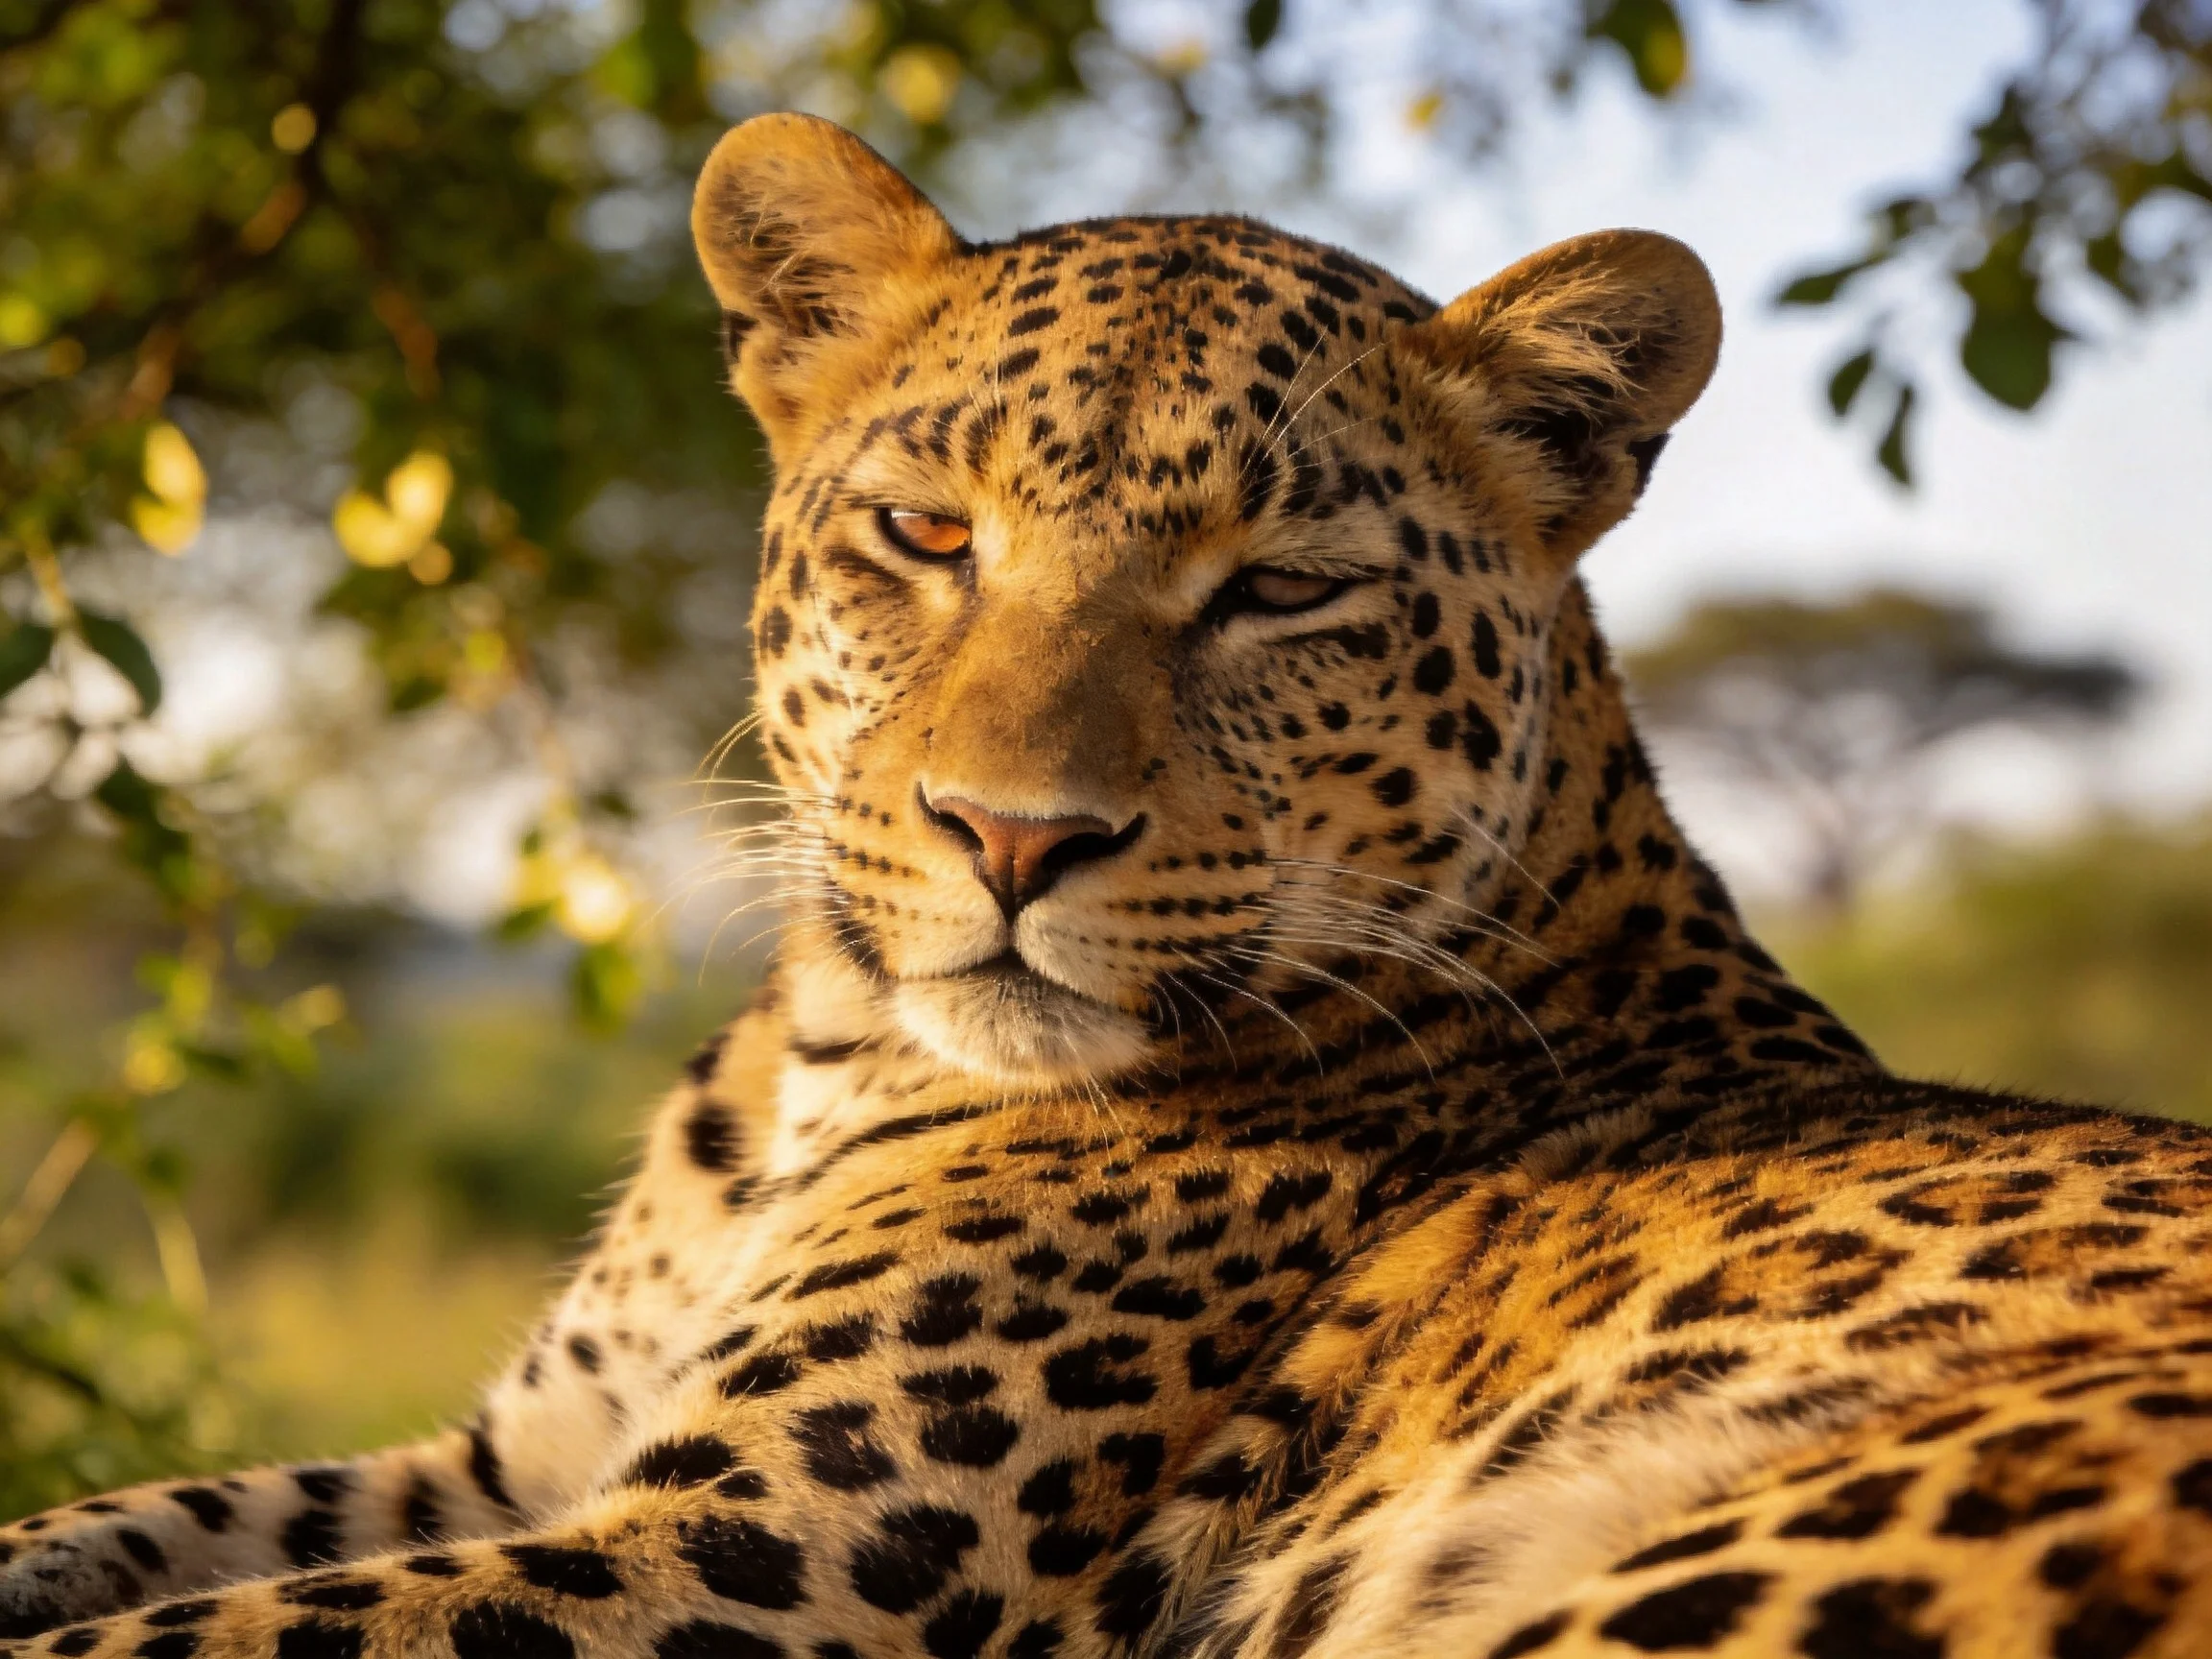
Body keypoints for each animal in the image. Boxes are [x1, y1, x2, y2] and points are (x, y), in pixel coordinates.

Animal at [6, 110, 2211, 1659]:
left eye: (1283, 591)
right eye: (925, 533)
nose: (1011, 836)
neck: (827, 1058)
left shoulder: (752, 1551)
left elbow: (185, 1632)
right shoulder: (510, 1460)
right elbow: (119, 1533)